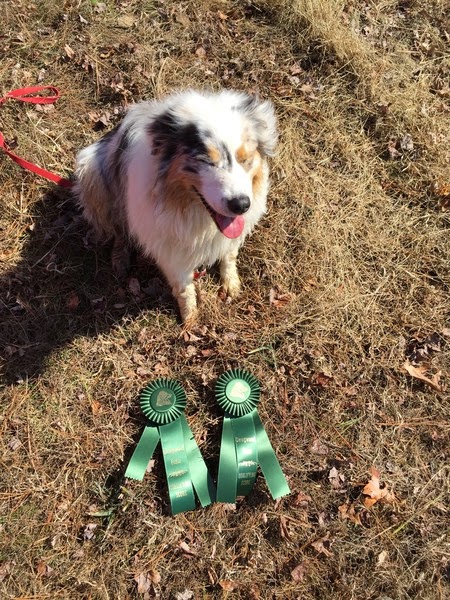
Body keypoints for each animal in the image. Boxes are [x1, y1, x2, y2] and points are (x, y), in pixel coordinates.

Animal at [74, 88, 278, 322]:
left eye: (246, 158)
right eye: (206, 161)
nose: (241, 205)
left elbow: (229, 254)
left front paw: (231, 284)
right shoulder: (169, 248)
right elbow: (183, 287)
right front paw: (190, 319)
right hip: (92, 173)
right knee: (119, 229)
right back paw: (120, 259)